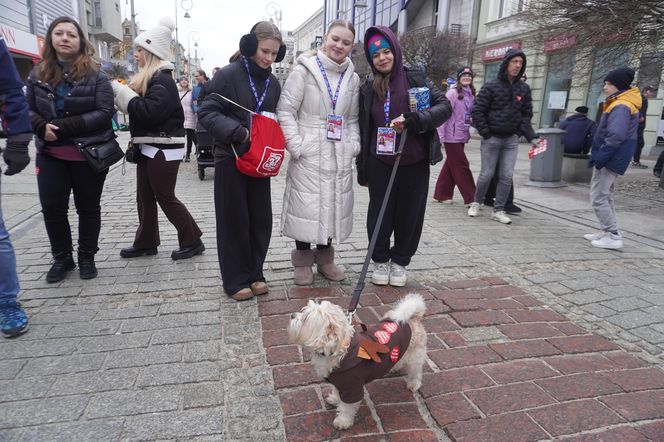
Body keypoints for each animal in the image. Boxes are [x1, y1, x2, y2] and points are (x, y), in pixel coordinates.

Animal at [288, 294, 428, 428]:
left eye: (305, 318)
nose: (291, 315)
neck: (339, 352)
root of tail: (412, 317)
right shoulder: (339, 382)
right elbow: (337, 392)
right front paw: (335, 398)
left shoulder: (352, 387)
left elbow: (347, 408)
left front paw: (343, 421)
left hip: (415, 356)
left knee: (416, 371)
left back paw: (414, 384)